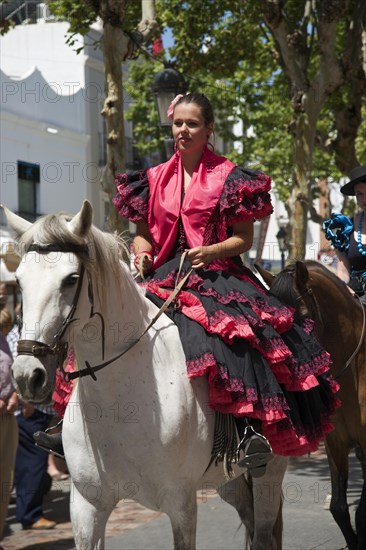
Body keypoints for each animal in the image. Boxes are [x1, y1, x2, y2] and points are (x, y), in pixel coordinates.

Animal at [3, 203, 288, 550]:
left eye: (71, 279)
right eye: (18, 281)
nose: (26, 376)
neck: (117, 399)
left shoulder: (181, 504)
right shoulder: (86, 506)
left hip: (271, 470)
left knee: (263, 532)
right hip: (227, 477)